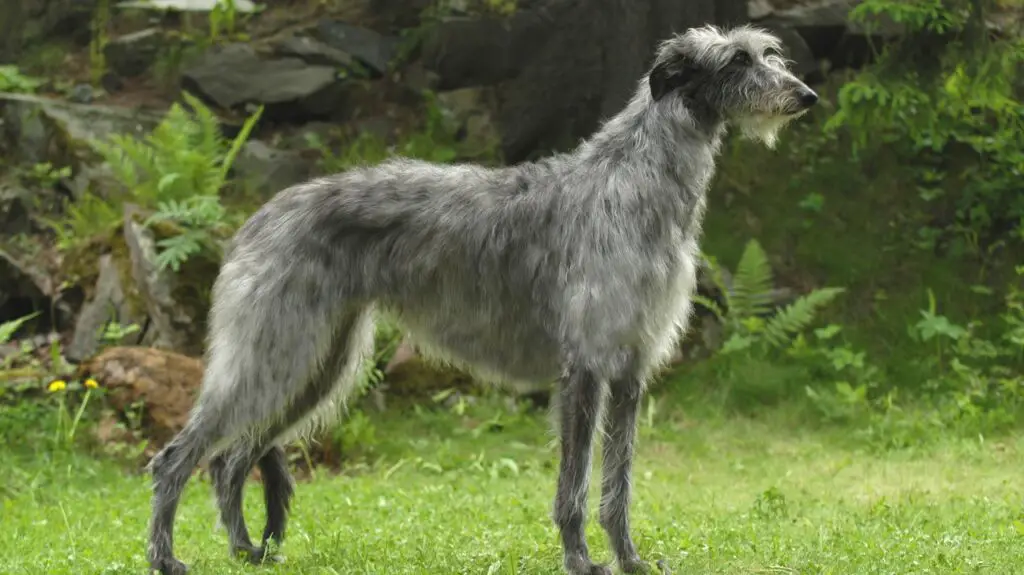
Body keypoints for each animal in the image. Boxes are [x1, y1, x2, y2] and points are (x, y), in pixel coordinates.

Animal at [146, 24, 815, 572]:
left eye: (768, 53)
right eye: (735, 60)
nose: (806, 95)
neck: (634, 181)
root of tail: (258, 216)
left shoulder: (629, 369)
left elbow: (617, 486)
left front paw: (630, 561)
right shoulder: (585, 368)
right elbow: (574, 487)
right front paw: (580, 562)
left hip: (318, 363)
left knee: (230, 461)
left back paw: (245, 551)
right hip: (276, 350)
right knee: (178, 457)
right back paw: (166, 557)